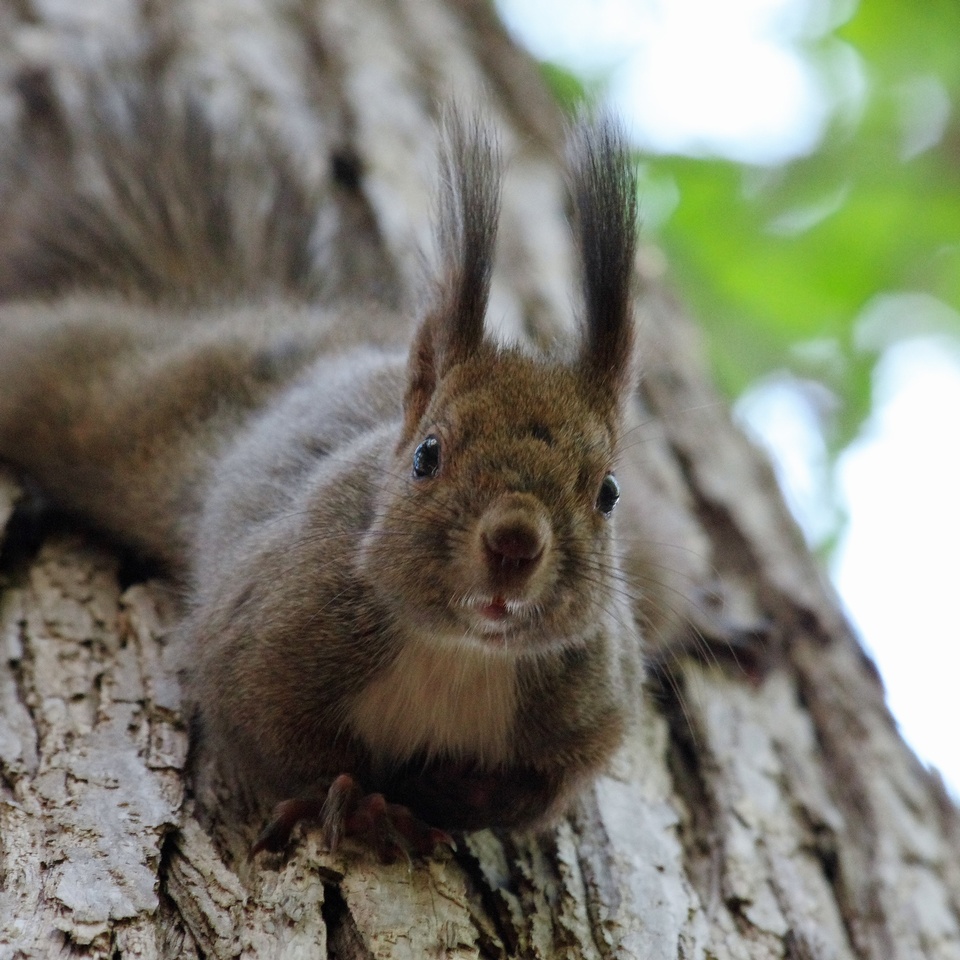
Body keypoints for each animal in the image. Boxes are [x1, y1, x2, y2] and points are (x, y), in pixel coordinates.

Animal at [0, 86, 648, 860]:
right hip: (105, 400)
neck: (461, 653)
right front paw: (362, 804)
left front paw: (448, 794)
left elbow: (540, 793)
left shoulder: (591, 701)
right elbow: (278, 740)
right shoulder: (263, 635)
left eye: (609, 492)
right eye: (427, 455)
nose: (515, 544)